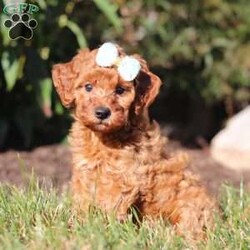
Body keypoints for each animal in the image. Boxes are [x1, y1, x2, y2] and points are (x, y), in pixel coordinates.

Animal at [51, 42, 216, 240]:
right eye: (88, 87)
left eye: (120, 90)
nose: (102, 113)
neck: (103, 139)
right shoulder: (85, 172)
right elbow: (83, 201)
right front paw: (77, 225)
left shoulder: (123, 178)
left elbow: (109, 206)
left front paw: (101, 230)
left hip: (191, 209)